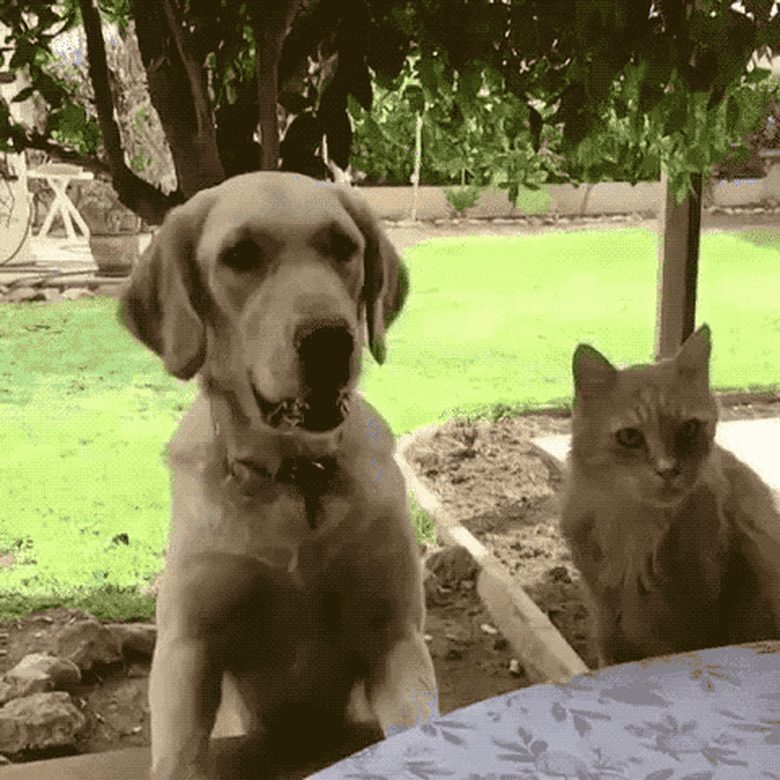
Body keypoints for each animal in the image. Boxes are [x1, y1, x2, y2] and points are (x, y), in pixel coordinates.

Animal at [122, 172, 438, 780]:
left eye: (343, 247)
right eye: (240, 255)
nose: (330, 339)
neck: (296, 478)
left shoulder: (396, 638)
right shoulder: (188, 651)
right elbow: (175, 758)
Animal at [556, 326, 780, 668]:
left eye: (689, 428)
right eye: (630, 437)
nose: (668, 470)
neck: (634, 530)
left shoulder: (697, 619)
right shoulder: (607, 625)